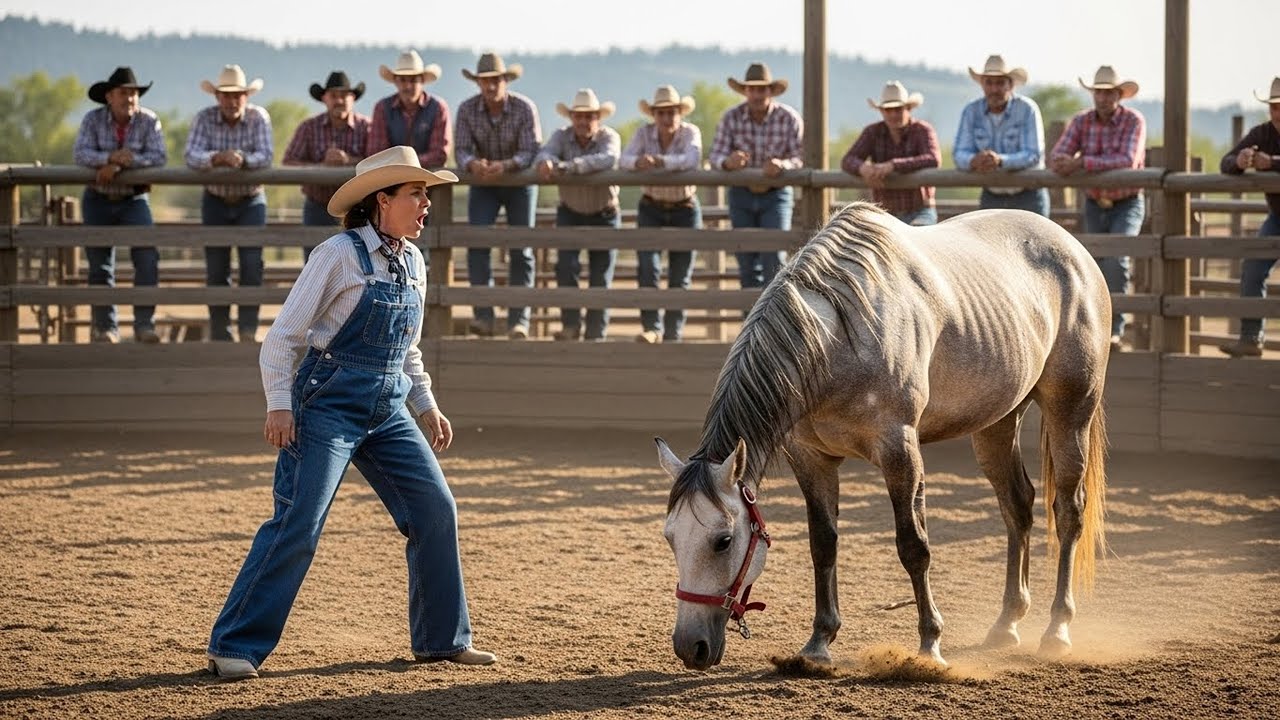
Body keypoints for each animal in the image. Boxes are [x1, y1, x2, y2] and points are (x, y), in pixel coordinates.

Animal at [657, 202, 1110, 671]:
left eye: (723, 541)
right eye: (670, 537)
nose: (690, 647)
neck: (837, 338)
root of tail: (1072, 248)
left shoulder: (900, 453)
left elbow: (913, 546)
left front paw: (930, 645)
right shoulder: (812, 459)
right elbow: (823, 545)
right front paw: (818, 643)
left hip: (1071, 411)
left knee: (1069, 511)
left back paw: (1057, 629)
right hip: (998, 422)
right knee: (1018, 507)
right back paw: (1007, 623)